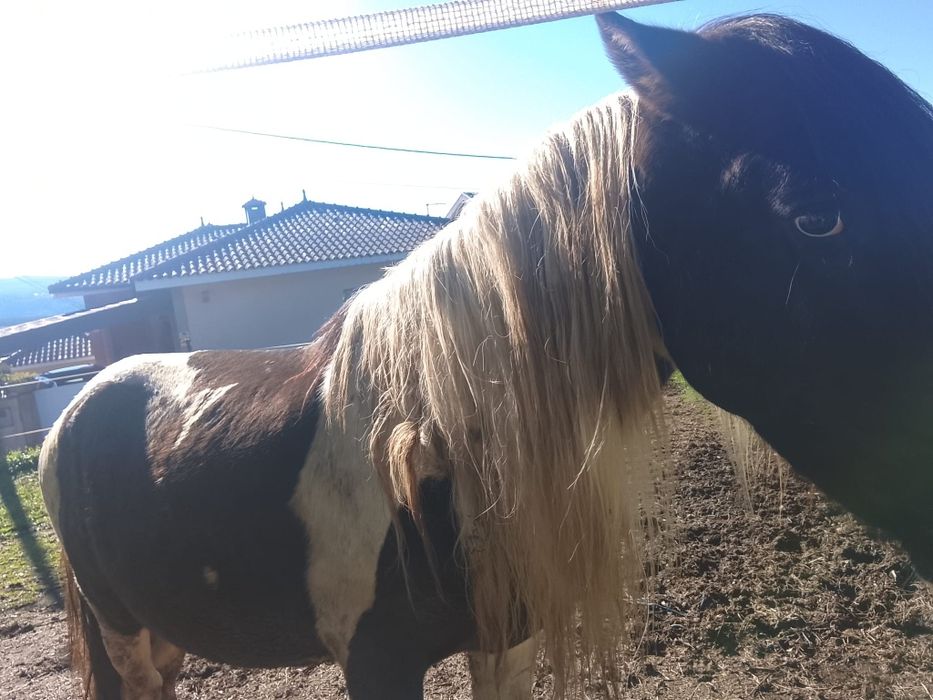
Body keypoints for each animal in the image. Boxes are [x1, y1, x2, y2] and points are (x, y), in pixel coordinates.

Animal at [38, 11, 933, 699]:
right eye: (815, 217)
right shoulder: (377, 664)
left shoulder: (507, 640)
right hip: (122, 632)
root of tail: (79, 407)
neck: (437, 436)